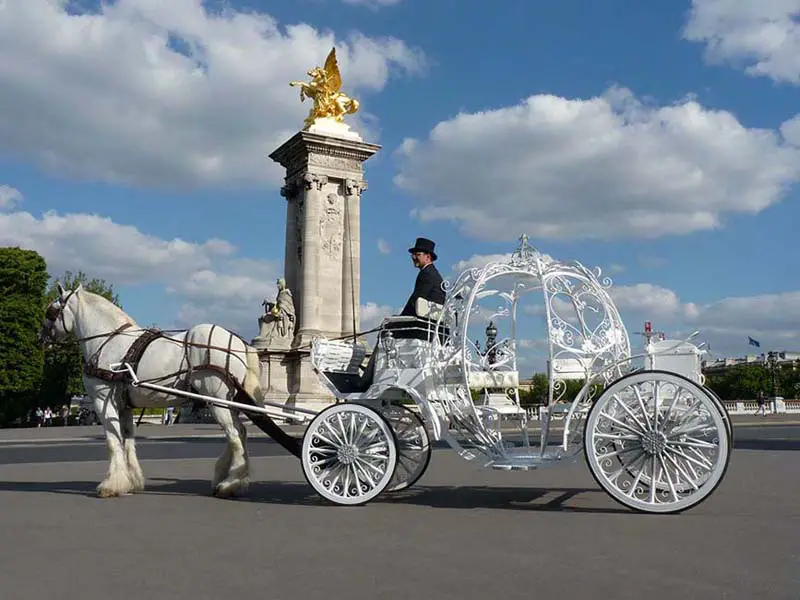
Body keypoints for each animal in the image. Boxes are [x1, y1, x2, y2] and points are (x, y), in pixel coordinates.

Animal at [38, 284, 296, 500]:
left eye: (51, 312)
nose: (41, 339)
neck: (110, 340)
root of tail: (239, 342)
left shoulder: (103, 401)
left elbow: (113, 442)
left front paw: (111, 485)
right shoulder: (125, 405)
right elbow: (128, 440)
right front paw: (132, 481)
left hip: (217, 399)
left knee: (235, 434)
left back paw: (230, 483)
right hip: (226, 401)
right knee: (239, 432)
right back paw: (227, 477)